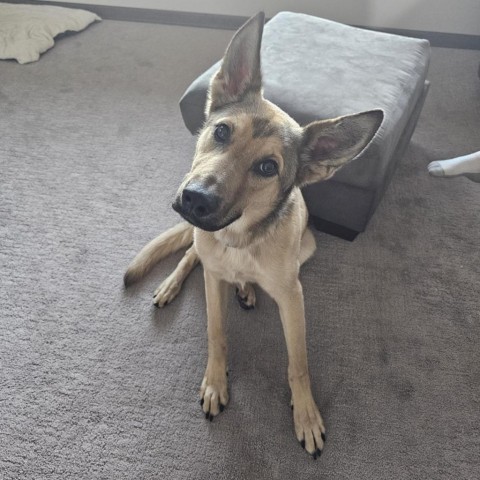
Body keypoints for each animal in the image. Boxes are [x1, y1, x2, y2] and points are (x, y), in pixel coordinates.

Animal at [124, 13, 382, 460]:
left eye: (267, 167)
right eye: (222, 132)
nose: (195, 199)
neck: (239, 241)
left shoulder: (293, 299)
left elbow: (299, 363)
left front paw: (306, 414)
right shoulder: (213, 277)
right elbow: (217, 333)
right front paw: (215, 382)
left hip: (307, 247)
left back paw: (245, 288)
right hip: (202, 249)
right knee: (190, 255)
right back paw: (174, 284)